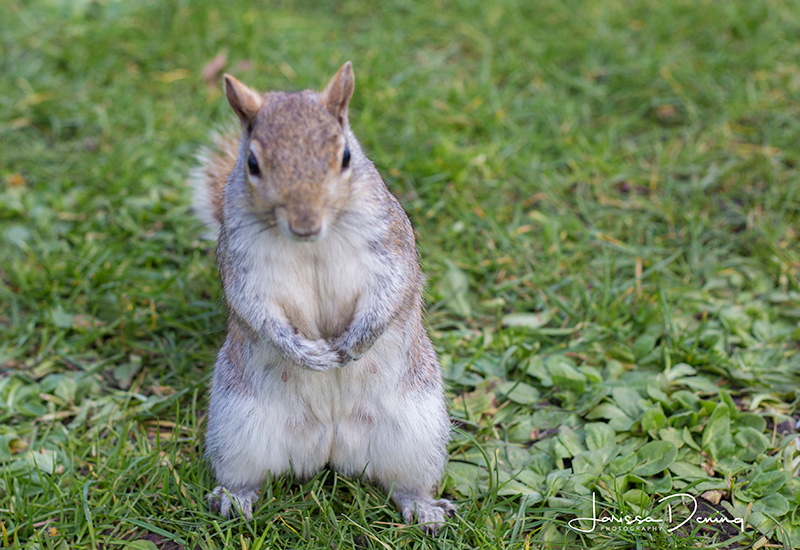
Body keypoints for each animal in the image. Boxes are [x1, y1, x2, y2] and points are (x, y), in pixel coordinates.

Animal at [189, 62, 456, 536]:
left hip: (416, 430)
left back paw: (423, 508)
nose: (305, 223)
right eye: (252, 163)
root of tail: (330, 443)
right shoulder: (242, 265)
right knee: (245, 474)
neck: (313, 243)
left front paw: (353, 343)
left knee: (406, 483)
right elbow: (255, 310)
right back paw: (235, 500)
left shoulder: (390, 244)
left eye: (346, 156)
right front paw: (308, 354)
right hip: (238, 427)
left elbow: (394, 289)